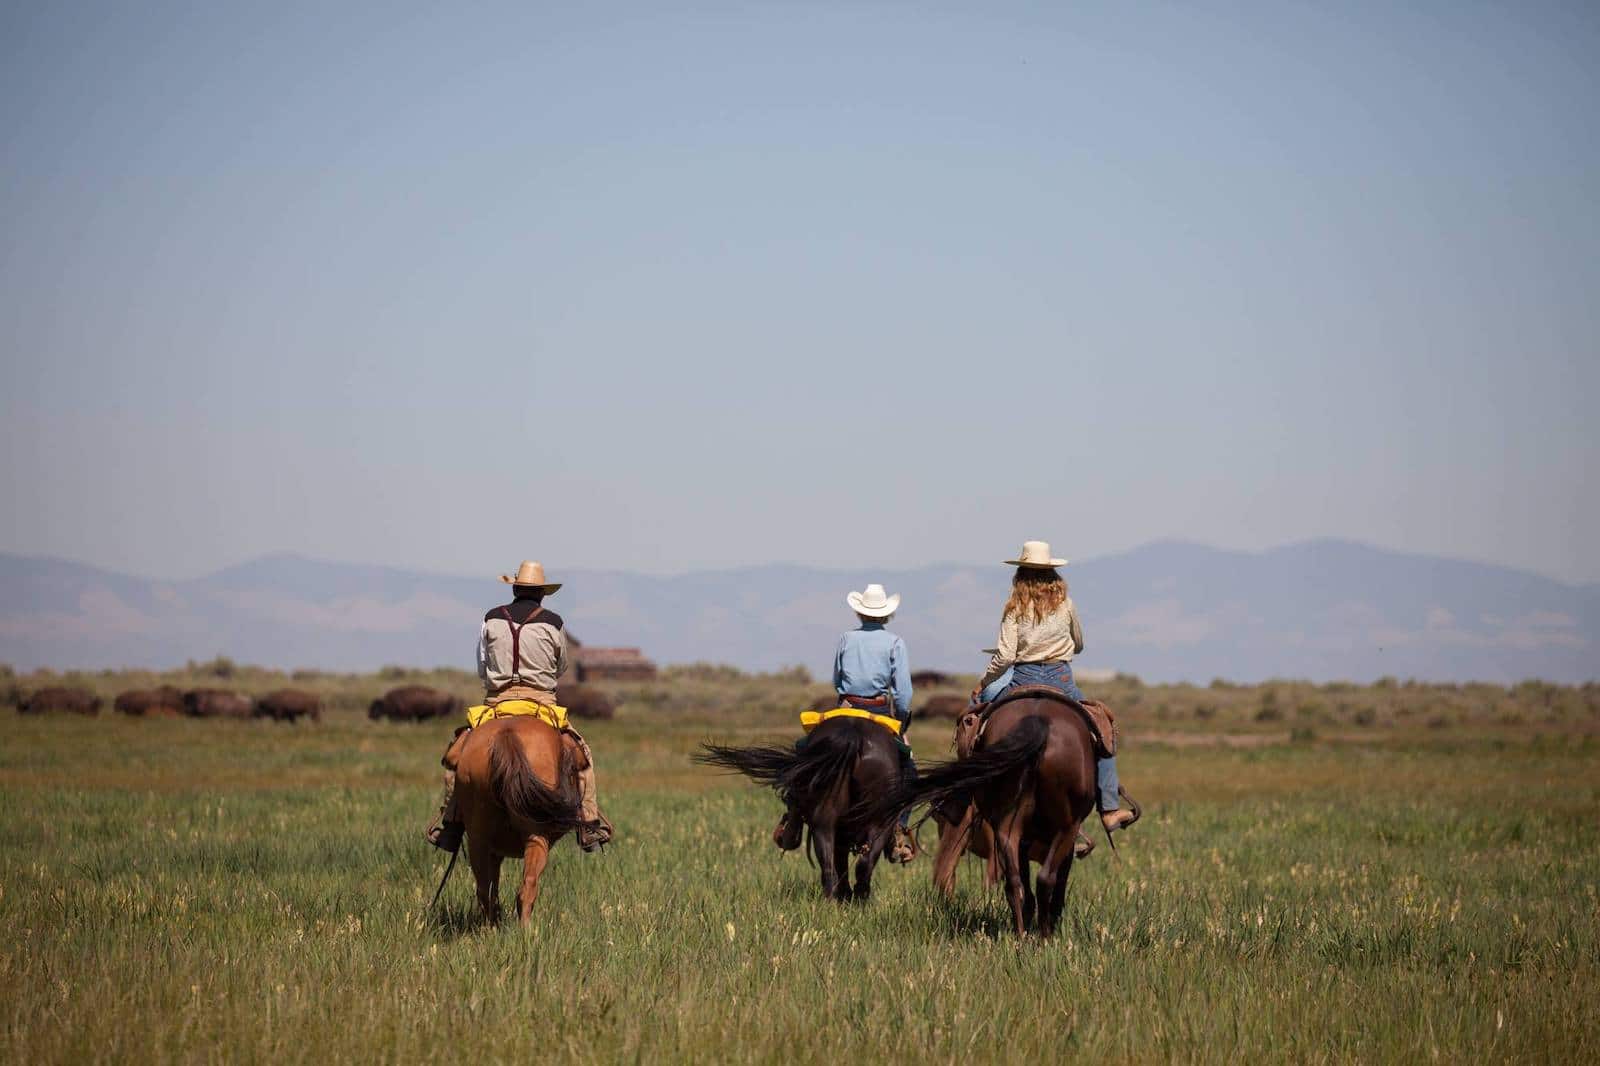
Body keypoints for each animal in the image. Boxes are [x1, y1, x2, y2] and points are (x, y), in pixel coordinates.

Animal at [451, 713, 595, 921]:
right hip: (537, 836)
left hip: (478, 838)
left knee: (485, 890)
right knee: (528, 886)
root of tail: (506, 734)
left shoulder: (495, 852)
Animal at [883, 697, 1107, 941]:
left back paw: (1021, 934)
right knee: (1044, 878)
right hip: (1065, 827)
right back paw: (1044, 936)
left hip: (1004, 828)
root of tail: (1039, 721)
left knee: (1007, 881)